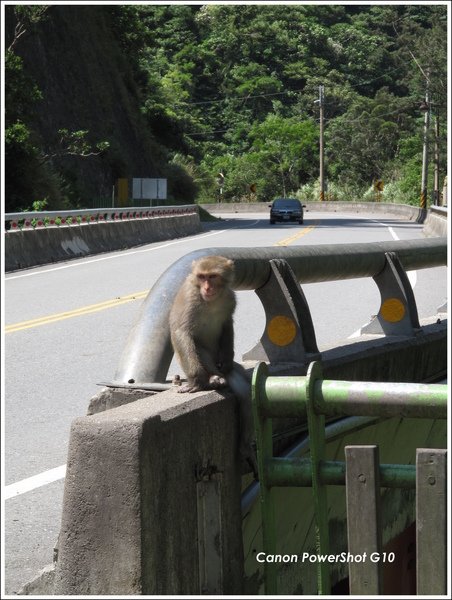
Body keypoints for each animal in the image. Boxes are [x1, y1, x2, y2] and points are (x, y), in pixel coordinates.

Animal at [170, 255, 258, 476]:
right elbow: (182, 332)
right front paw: (197, 381)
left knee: (246, 393)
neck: (212, 300)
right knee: (197, 349)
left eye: (212, 277)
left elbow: (227, 323)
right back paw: (212, 379)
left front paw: (226, 359)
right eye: (201, 277)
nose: (207, 287)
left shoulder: (230, 298)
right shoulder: (190, 296)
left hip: (233, 371)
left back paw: (244, 446)